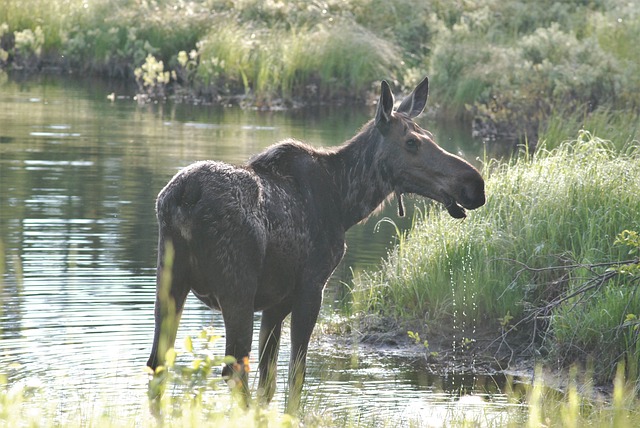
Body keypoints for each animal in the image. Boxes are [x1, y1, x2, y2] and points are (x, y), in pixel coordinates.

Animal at [146, 76, 484, 412]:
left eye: (430, 136)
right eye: (412, 142)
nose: (474, 184)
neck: (346, 204)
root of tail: (182, 197)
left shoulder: (275, 304)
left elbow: (268, 385)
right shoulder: (311, 288)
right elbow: (295, 377)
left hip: (169, 283)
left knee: (157, 363)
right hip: (236, 289)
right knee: (233, 370)